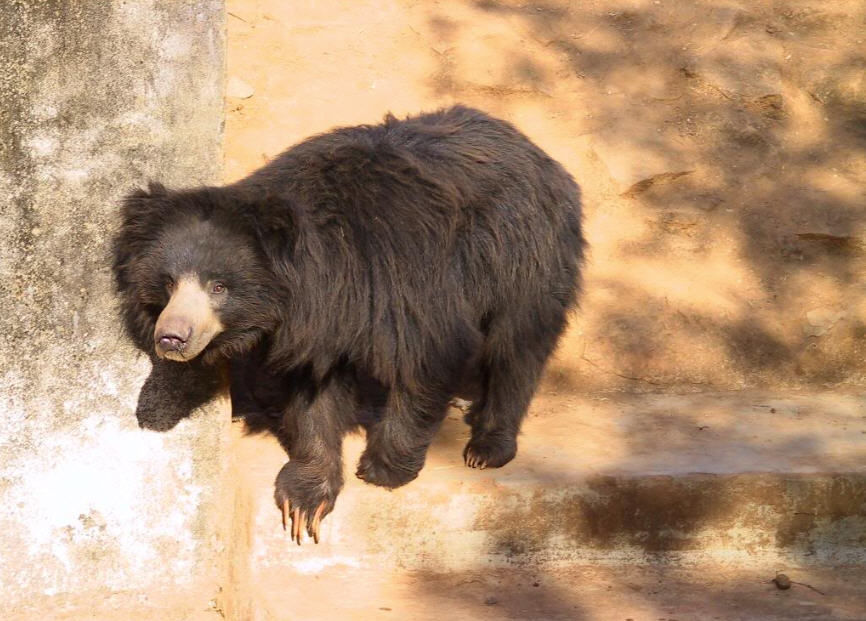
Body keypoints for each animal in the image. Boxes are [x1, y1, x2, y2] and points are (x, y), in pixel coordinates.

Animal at [111, 105, 584, 544]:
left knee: (517, 345)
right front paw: (305, 501)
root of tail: (535, 151)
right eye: (168, 283)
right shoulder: (319, 322)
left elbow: (428, 354)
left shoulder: (404, 275)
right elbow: (313, 393)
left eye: (219, 286)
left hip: (523, 254)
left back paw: (487, 446)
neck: (324, 274)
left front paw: (383, 469)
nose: (171, 338)